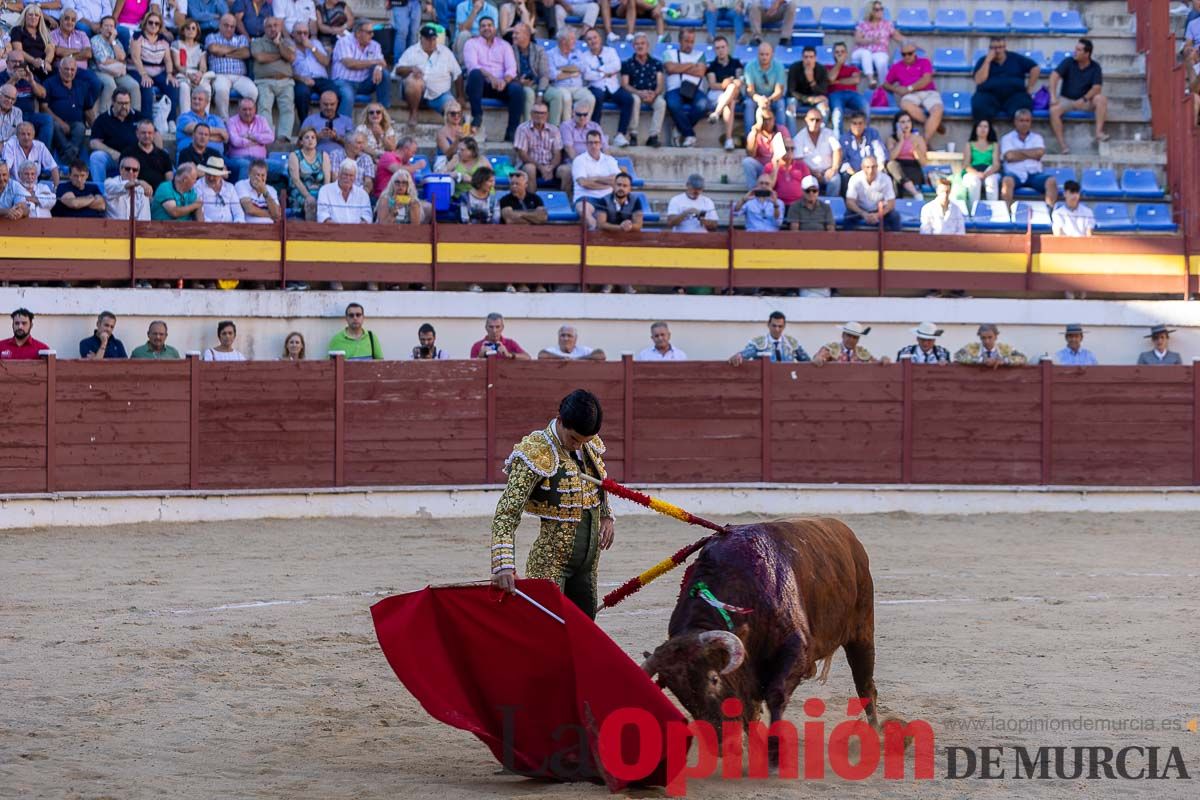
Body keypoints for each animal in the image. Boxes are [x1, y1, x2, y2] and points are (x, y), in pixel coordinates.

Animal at [643, 520, 878, 743]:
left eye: (714, 679)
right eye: (679, 693)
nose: (722, 737)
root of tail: (845, 532)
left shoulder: (796, 649)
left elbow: (775, 695)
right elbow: (750, 712)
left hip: (862, 632)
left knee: (865, 687)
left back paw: (877, 734)